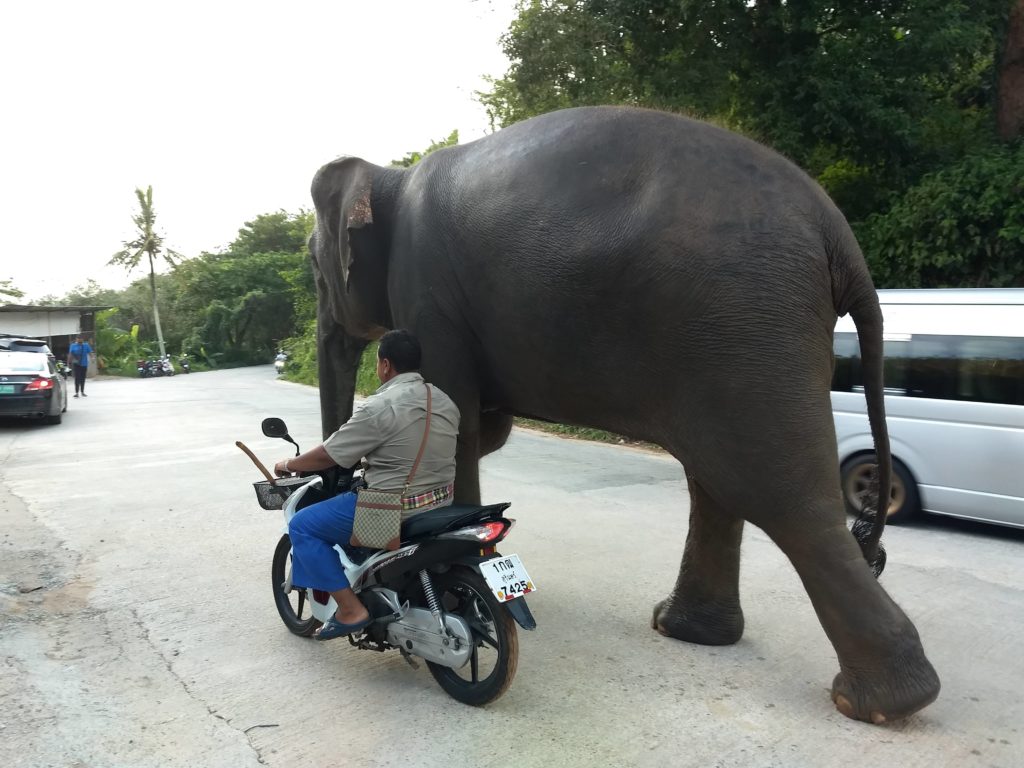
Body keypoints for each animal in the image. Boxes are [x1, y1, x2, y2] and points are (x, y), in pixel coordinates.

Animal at [307, 105, 937, 724]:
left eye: (314, 267)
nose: (334, 478)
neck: (393, 176)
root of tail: (837, 233)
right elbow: (483, 426)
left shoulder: (426, 291)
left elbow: (459, 422)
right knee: (717, 482)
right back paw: (687, 631)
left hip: (750, 322)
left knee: (779, 494)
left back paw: (880, 704)